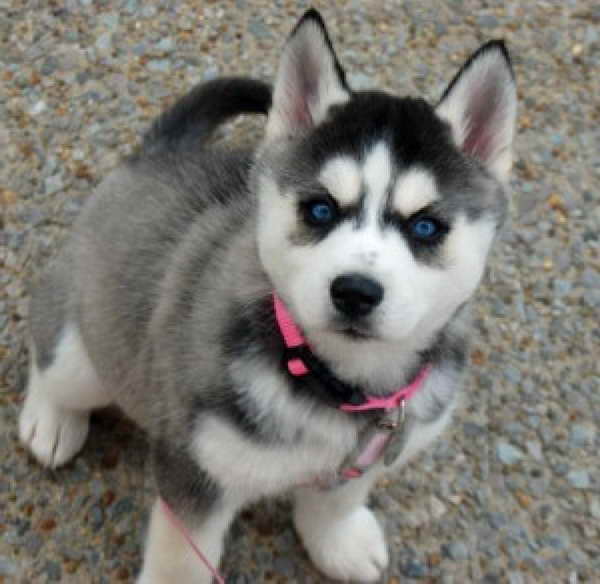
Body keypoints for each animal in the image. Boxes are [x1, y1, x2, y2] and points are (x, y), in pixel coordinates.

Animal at [18, 9, 516, 584]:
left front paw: (338, 541)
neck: (336, 383)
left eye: (427, 227)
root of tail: (156, 156)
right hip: (88, 352)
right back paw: (50, 419)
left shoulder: (371, 451)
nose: (355, 292)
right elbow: (181, 559)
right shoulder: (195, 467)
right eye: (320, 210)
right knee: (52, 356)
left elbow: (338, 500)